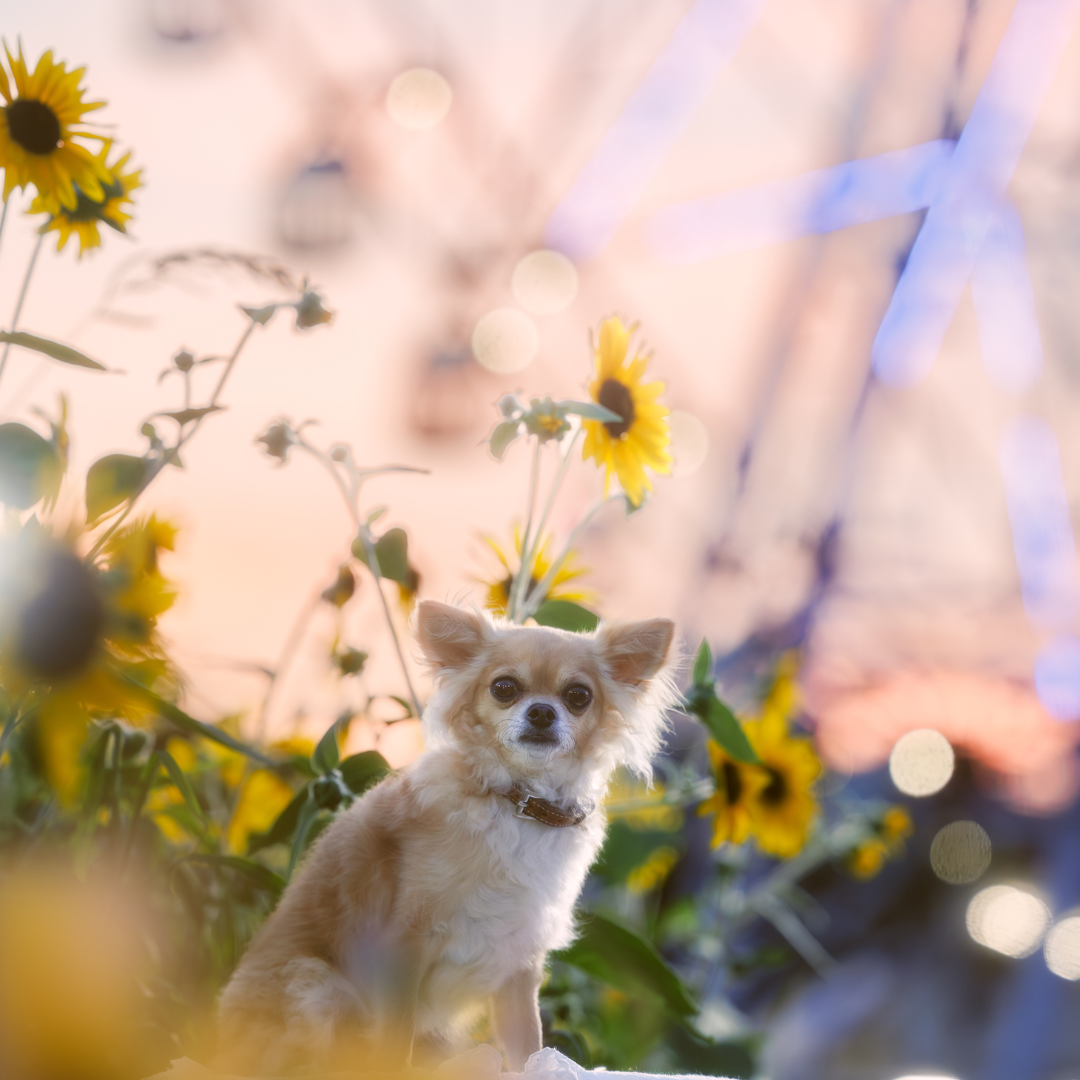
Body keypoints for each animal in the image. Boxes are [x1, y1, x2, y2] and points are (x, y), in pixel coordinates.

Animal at [216, 600, 673, 1071]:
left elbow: (528, 1042)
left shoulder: (519, 962)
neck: (518, 804)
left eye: (579, 696)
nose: (542, 712)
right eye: (504, 688)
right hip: (317, 984)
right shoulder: (405, 943)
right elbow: (395, 1040)